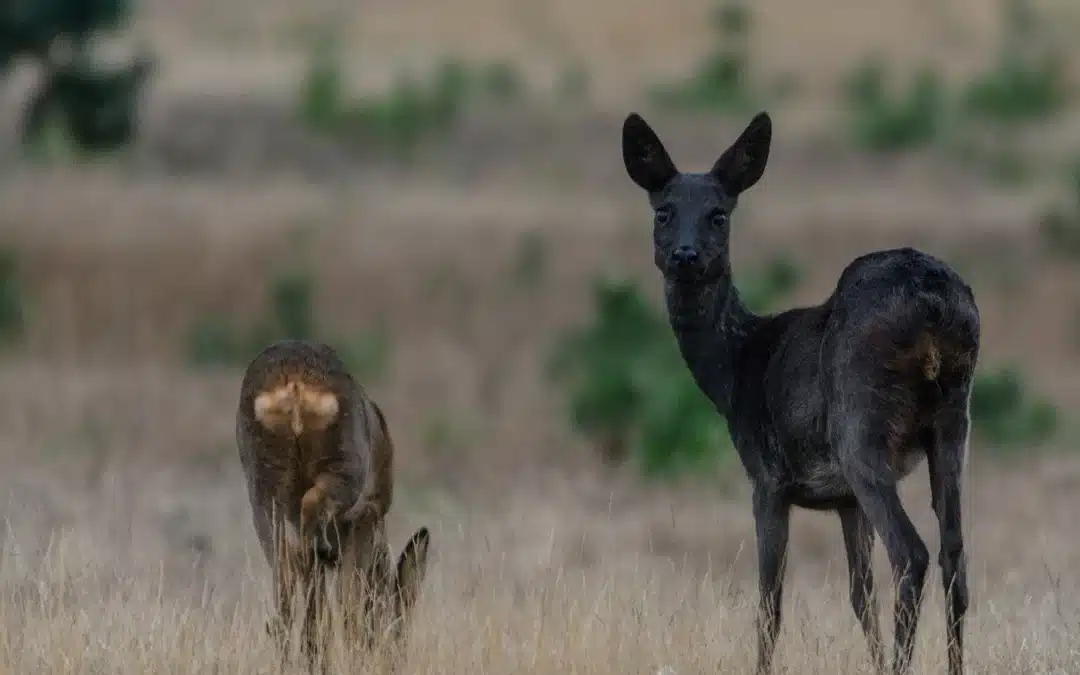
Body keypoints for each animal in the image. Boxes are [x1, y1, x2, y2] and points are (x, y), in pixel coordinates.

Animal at [235, 339, 431, 667]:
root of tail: (295, 384)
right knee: (312, 520)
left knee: (286, 599)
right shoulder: (367, 518)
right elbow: (351, 607)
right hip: (345, 465)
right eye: (398, 630)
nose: (394, 662)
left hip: (264, 490)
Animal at [621, 111, 980, 675]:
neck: (735, 369)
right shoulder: (844, 499)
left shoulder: (768, 477)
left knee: (912, 554)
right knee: (955, 558)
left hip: (861, 425)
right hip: (954, 420)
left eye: (719, 215)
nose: (685, 255)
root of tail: (935, 306)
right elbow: (859, 594)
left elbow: (770, 601)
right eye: (663, 212)